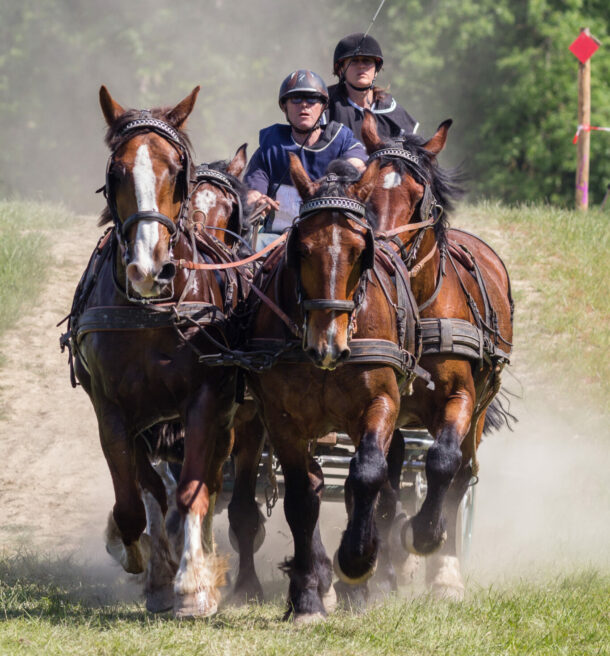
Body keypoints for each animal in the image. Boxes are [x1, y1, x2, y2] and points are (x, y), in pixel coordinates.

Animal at [61, 84, 242, 616]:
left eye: (177, 170)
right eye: (115, 172)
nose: (147, 268)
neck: (150, 312)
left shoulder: (205, 401)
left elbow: (191, 492)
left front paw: (194, 585)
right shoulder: (111, 409)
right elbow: (134, 501)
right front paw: (146, 562)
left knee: (209, 483)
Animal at [228, 152, 432, 620]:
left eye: (360, 252)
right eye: (301, 248)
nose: (327, 346)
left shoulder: (380, 402)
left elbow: (367, 474)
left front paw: (357, 561)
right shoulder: (281, 418)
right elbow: (302, 498)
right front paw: (305, 597)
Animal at [358, 113, 510, 600]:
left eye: (417, 197)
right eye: (362, 190)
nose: (384, 252)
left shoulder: (460, 397)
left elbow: (443, 461)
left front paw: (424, 537)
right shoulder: (382, 400)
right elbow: (385, 480)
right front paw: (387, 559)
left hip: (478, 411)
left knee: (462, 471)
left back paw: (445, 572)